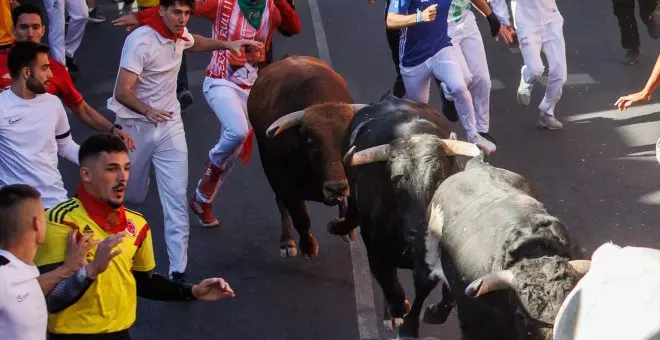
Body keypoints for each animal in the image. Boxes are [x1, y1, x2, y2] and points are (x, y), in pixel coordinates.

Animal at [246, 55, 364, 258]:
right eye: (310, 140)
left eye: (348, 137)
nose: (336, 187)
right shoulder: (285, 184)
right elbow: (301, 218)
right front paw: (308, 246)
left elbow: (351, 214)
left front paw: (341, 227)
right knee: (281, 203)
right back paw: (287, 242)